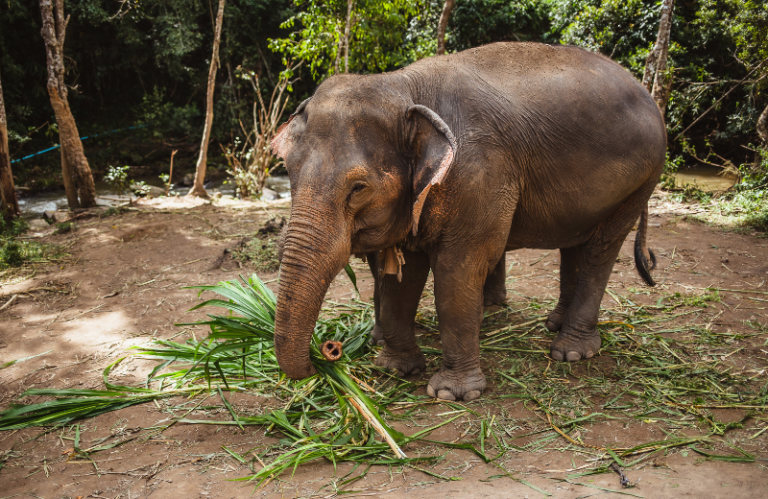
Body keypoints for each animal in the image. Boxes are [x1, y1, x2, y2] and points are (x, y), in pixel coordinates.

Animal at [270, 43, 664, 402]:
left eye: (358, 188)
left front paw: (452, 394)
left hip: (643, 177)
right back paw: (555, 324)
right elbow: (403, 276)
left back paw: (570, 350)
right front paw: (396, 369)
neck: (403, 86)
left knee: (601, 249)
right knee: (574, 243)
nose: (328, 352)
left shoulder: (478, 172)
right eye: (288, 170)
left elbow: (456, 272)